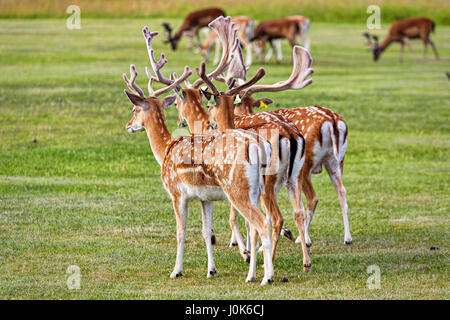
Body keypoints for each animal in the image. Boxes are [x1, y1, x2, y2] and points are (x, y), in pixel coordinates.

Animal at [124, 25, 278, 284]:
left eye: (135, 109)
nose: (128, 125)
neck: (165, 150)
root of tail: (258, 146)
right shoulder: (206, 198)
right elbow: (207, 232)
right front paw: (211, 270)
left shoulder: (177, 192)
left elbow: (180, 231)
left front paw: (176, 270)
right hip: (256, 189)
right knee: (256, 227)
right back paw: (252, 274)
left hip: (237, 188)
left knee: (263, 224)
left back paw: (267, 277)